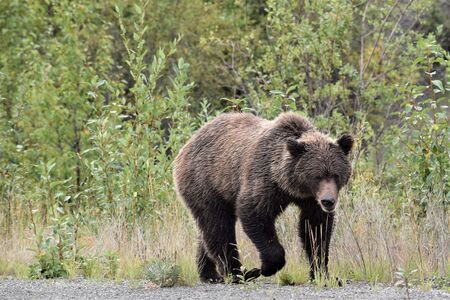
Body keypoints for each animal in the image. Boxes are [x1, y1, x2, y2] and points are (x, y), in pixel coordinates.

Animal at [172, 111, 352, 282]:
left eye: (335, 174)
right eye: (317, 176)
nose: (328, 201)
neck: (288, 185)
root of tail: (187, 144)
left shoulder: (310, 200)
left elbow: (316, 230)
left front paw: (323, 274)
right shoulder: (265, 180)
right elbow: (255, 213)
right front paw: (266, 267)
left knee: (207, 231)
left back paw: (210, 274)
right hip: (206, 182)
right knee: (218, 225)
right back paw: (238, 273)